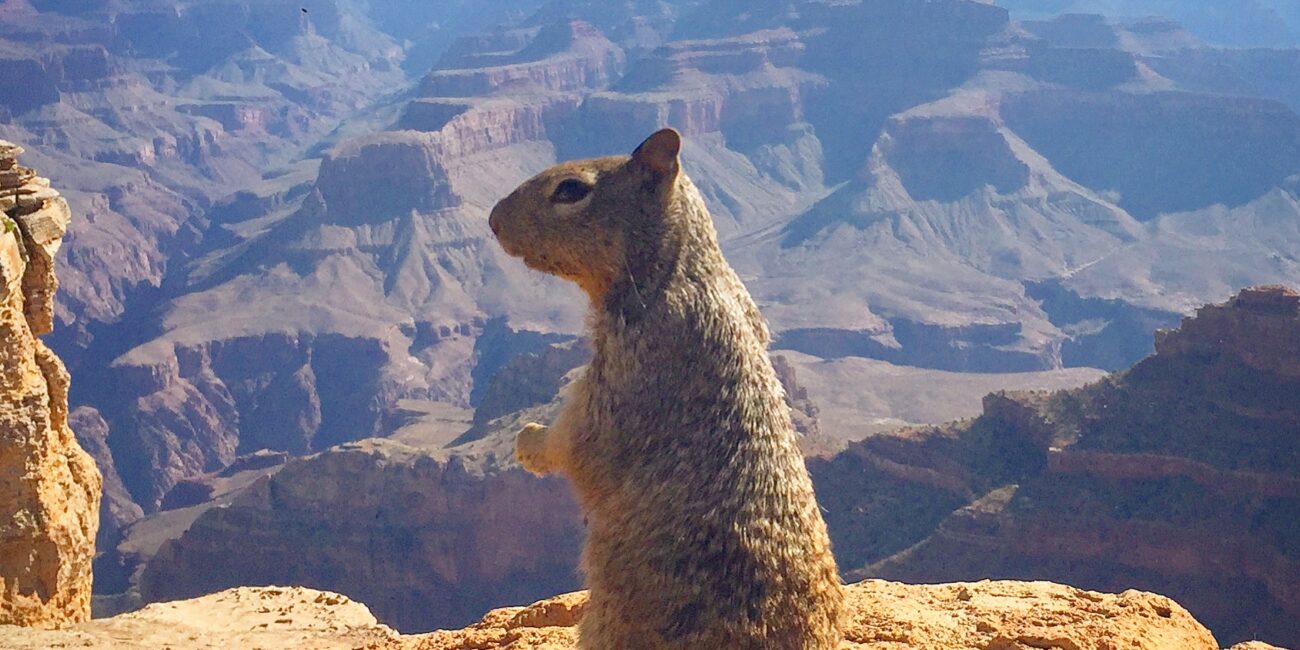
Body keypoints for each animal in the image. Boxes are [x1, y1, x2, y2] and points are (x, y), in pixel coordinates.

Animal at [488, 128, 844, 649]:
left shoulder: (618, 370)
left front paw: (528, 438)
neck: (680, 268)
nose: (492, 219)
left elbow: (575, 440)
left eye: (571, 190)